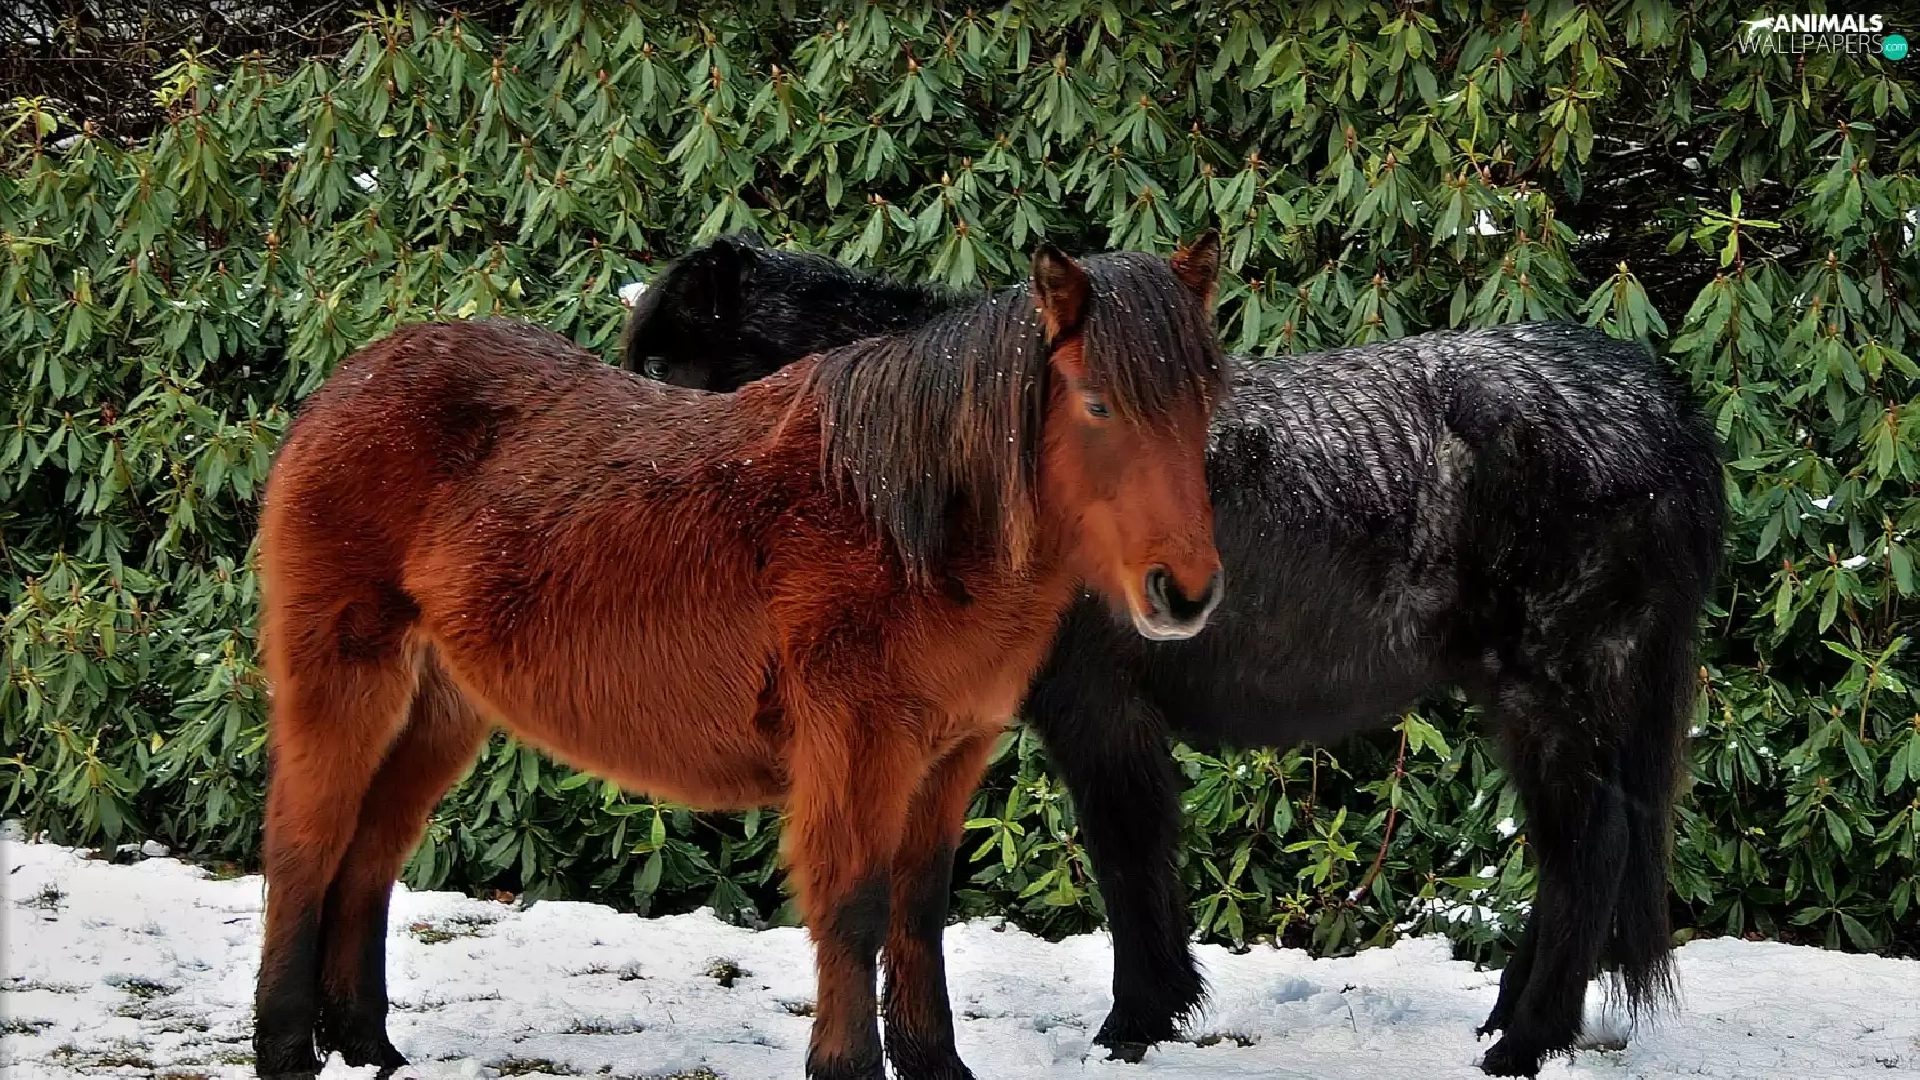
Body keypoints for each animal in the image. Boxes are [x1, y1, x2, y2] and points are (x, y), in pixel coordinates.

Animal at [250, 239, 1230, 1080]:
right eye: (1097, 403)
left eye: (1203, 404)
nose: (1184, 592)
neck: (897, 512)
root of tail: (346, 385)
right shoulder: (857, 746)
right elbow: (854, 908)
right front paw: (847, 1066)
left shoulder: (949, 755)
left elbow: (918, 910)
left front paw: (935, 1066)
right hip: (345, 679)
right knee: (305, 847)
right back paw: (287, 1051)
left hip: (439, 710)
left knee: (370, 856)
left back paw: (366, 1046)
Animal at [617, 236, 1726, 1077]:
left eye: (666, 370)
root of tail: (1656, 402)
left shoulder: (1098, 712)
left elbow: (1127, 858)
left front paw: (1134, 1024)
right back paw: (1509, 1019)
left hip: (1555, 692)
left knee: (1585, 857)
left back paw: (1525, 1044)